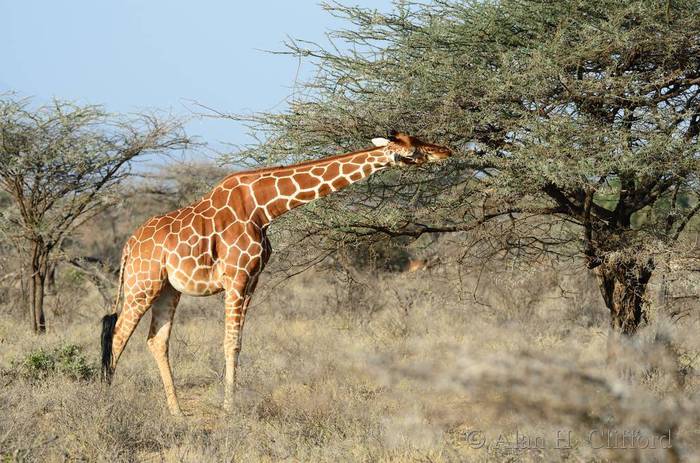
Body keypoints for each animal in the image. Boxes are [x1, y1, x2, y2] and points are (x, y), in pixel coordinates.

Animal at [100, 132, 452, 415]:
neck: (264, 208)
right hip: (142, 284)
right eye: (413, 151)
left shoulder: (253, 280)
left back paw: (176, 412)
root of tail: (128, 245)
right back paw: (108, 401)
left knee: (155, 340)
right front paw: (229, 408)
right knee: (117, 334)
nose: (446, 150)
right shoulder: (237, 278)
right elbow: (230, 342)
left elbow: (238, 343)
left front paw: (230, 403)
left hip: (168, 288)